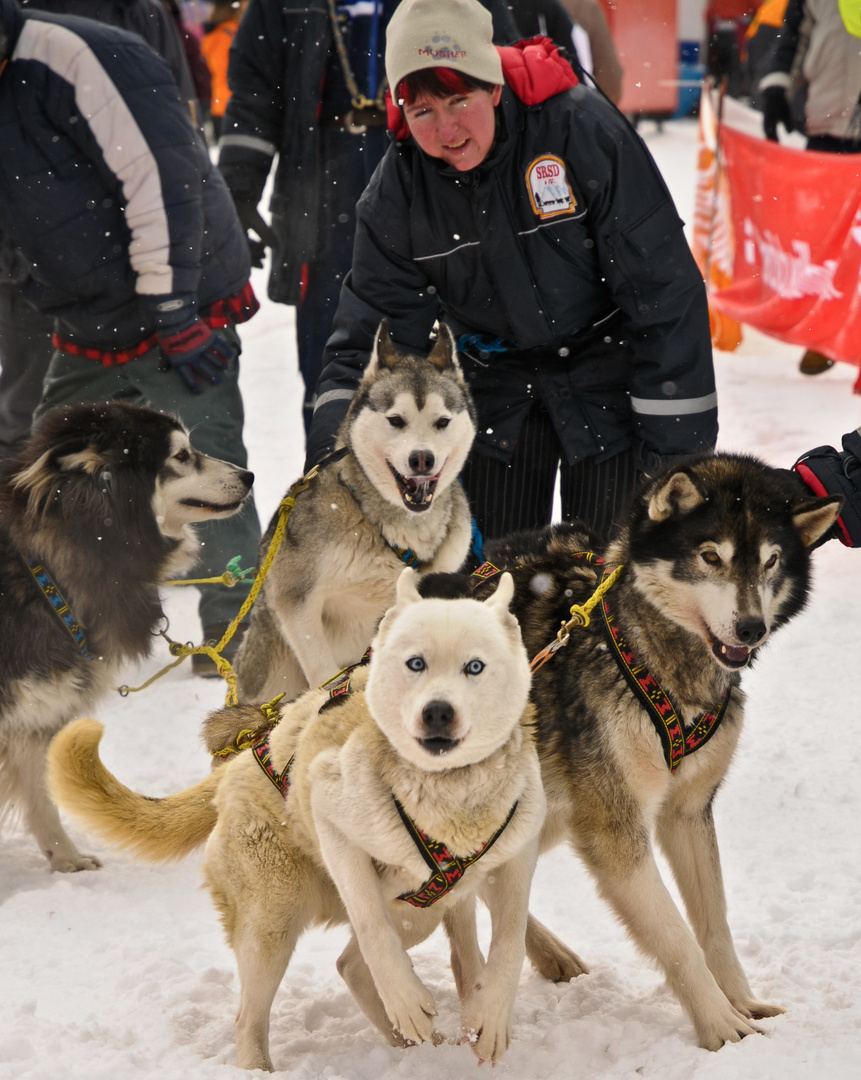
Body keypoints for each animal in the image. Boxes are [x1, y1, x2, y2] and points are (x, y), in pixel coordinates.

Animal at [0, 403, 253, 868]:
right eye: (182, 455)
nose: (249, 476)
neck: (44, 569)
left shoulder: (36, 711)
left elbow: (41, 797)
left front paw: (67, 862)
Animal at [48, 574, 544, 1071]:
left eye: (474, 667)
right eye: (415, 663)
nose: (437, 711)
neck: (450, 797)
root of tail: (238, 763)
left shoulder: (517, 854)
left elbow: (510, 942)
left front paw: (490, 1016)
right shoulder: (333, 820)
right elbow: (374, 932)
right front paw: (408, 1000)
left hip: (422, 907)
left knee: (354, 966)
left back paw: (418, 1042)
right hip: (278, 916)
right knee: (256, 1013)